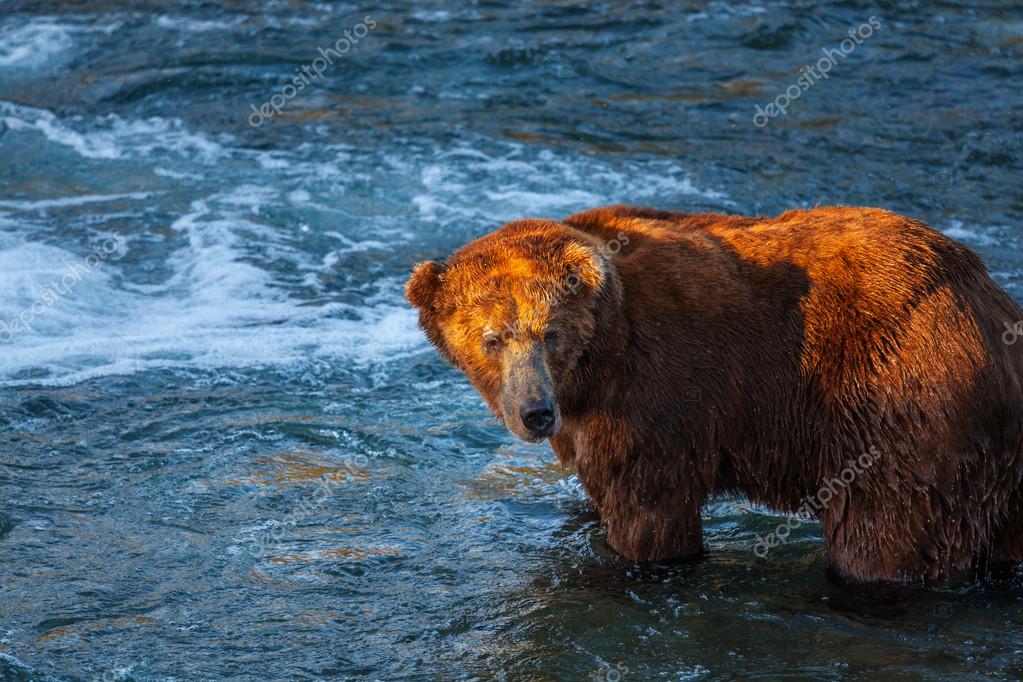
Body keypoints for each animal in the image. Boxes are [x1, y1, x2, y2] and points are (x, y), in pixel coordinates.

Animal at [405, 205, 1023, 584]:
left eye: (550, 332)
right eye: (492, 338)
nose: (535, 413)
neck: (599, 363)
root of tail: (987, 298)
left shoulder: (659, 399)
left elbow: (650, 515)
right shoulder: (592, 422)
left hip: (900, 398)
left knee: (885, 529)